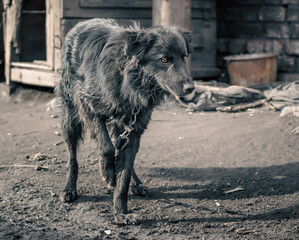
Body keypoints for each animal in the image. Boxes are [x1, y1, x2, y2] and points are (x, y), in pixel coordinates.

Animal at [56, 18, 196, 225]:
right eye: (164, 60)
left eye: (184, 57)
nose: (190, 89)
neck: (130, 83)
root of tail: (83, 22)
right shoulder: (88, 106)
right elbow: (106, 147)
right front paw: (107, 173)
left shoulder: (134, 130)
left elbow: (124, 175)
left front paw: (120, 213)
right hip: (70, 118)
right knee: (72, 157)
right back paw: (69, 189)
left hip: (120, 128)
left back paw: (137, 184)